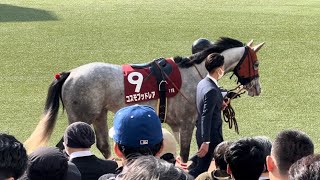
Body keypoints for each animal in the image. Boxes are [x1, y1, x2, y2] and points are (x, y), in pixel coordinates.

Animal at [24, 37, 264, 164]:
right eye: (256, 63)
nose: (257, 88)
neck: (194, 73)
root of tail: (69, 73)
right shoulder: (188, 122)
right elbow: (186, 152)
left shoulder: (176, 124)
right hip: (81, 116)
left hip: (99, 114)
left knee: (102, 145)